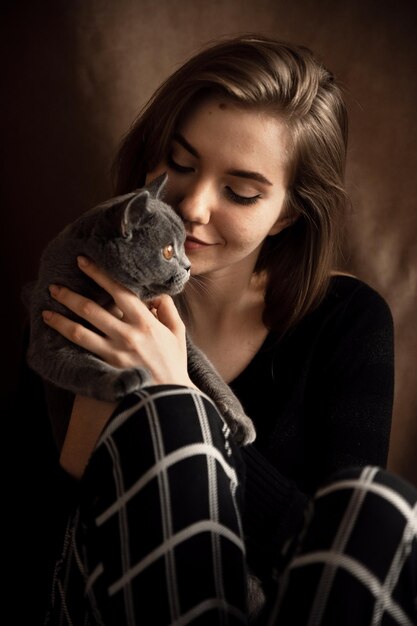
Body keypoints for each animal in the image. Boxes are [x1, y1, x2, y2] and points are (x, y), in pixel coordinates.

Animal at [24, 174, 255, 448]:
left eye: (184, 245)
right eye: (168, 251)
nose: (189, 266)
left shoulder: (179, 337)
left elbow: (207, 371)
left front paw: (240, 420)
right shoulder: (48, 339)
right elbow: (84, 366)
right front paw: (124, 378)